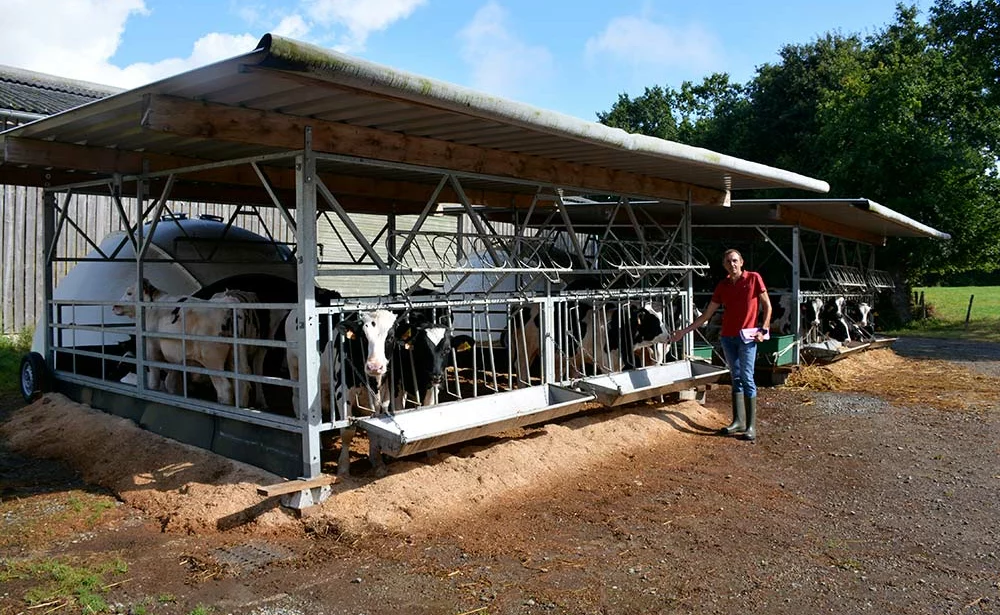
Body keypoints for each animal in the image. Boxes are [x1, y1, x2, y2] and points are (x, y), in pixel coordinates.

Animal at [111, 280, 260, 406]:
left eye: (129, 292)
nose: (114, 306)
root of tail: (227, 302)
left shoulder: (152, 348)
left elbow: (155, 380)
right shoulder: (176, 358)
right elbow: (171, 382)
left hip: (212, 359)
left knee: (225, 388)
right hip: (237, 356)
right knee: (242, 386)